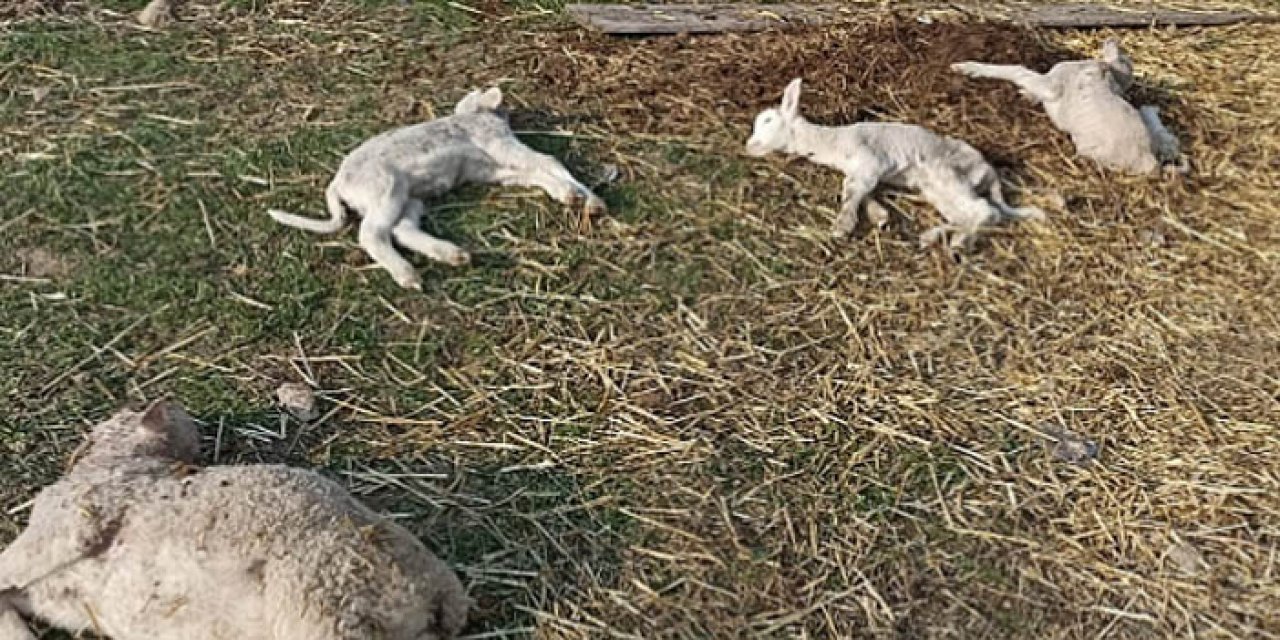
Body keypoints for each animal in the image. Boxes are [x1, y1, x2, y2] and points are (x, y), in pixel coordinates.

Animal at [267, 87, 606, 290]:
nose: (510, 113)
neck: (471, 116)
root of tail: (337, 183)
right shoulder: (500, 145)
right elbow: (547, 162)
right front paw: (577, 196)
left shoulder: (494, 169)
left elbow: (538, 173)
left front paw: (585, 200)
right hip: (386, 189)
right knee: (371, 234)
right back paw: (408, 275)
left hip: (410, 199)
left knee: (401, 230)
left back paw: (453, 255)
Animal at [747, 77, 1044, 252]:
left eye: (768, 121)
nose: (749, 146)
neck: (833, 142)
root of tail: (990, 171)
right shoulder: (866, 171)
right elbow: (863, 191)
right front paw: (879, 215)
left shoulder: (869, 160)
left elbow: (851, 191)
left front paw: (842, 227)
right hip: (935, 188)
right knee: (970, 214)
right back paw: (933, 237)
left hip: (948, 176)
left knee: (986, 212)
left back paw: (959, 243)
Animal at [952, 39, 1187, 175]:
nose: (1110, 40)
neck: (1104, 71)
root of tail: (1149, 160)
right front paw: (1028, 95)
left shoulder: (1052, 85)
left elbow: (1018, 71)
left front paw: (968, 67)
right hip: (1161, 140)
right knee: (1157, 125)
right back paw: (1153, 112)